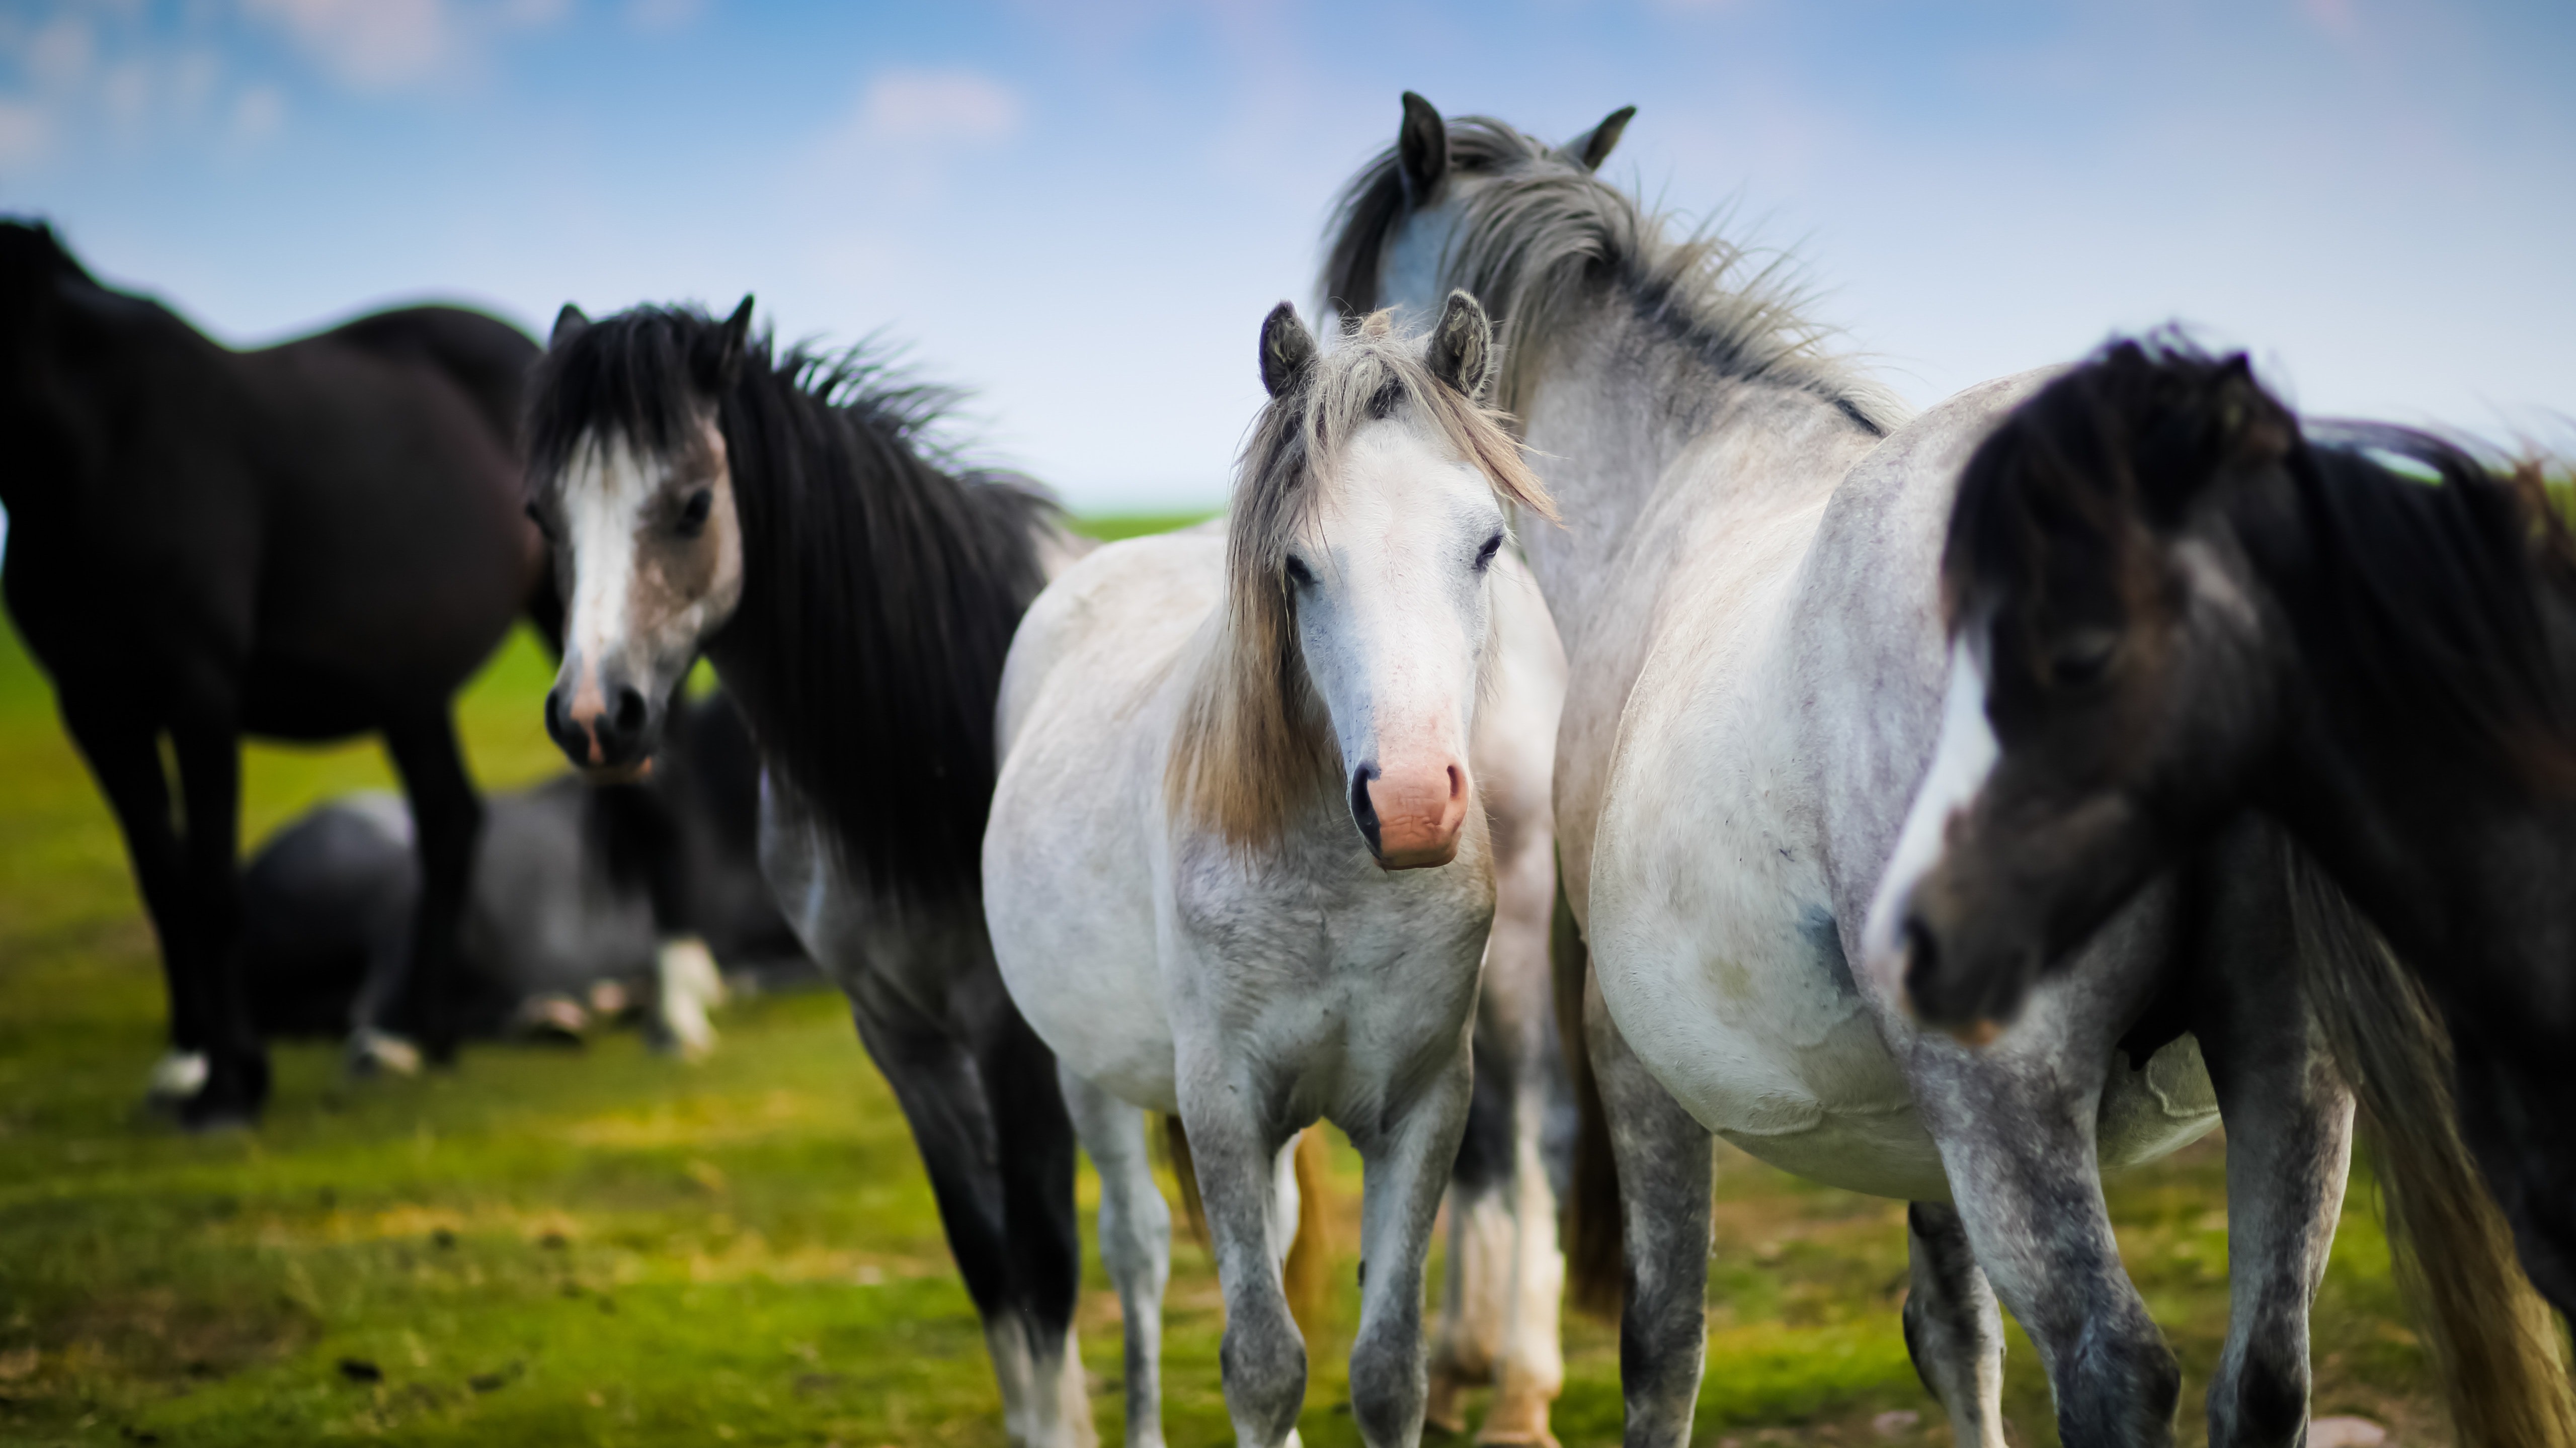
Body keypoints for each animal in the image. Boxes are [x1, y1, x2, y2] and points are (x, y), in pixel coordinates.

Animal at [518, 299, 1092, 1432]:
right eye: (542, 516)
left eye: (694, 503)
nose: (596, 716)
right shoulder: (902, 1041)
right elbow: (992, 1268)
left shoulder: (1013, 1043)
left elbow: (1047, 1270)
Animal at [979, 296, 1546, 1442]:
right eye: (1299, 565)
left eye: (1485, 544)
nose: (1410, 802)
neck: (1338, 885)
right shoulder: (1223, 1104)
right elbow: (1263, 1362)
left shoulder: (1423, 1102)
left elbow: (1387, 1368)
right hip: (1089, 1074)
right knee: (1138, 1250)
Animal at [1329, 96, 2359, 1432]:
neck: (1677, 479)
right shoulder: (1922, 1136)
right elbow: (1953, 1331)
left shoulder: (1634, 1057)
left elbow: (1661, 1342)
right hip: (2287, 1080)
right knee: (2264, 1376)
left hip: (2007, 1100)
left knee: (2115, 1366)